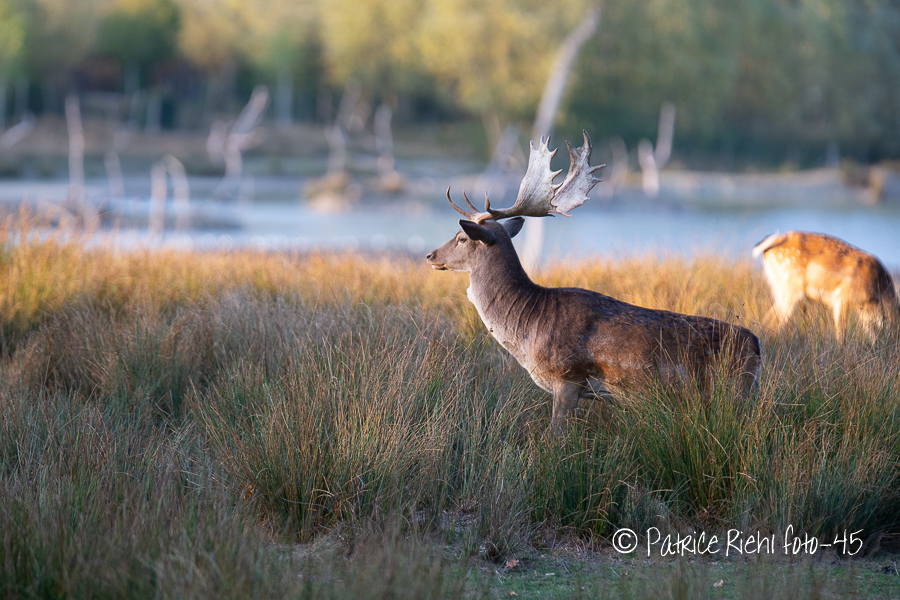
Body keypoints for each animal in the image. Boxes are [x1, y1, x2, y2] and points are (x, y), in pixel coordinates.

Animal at [426, 131, 761, 430]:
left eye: (461, 237)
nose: (430, 255)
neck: (528, 328)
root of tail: (758, 347)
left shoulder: (567, 376)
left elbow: (557, 436)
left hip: (730, 390)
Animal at [752, 231, 899, 340]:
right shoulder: (842, 297)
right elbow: (841, 334)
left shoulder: (862, 307)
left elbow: (871, 334)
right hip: (792, 288)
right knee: (780, 323)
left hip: (780, 288)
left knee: (769, 318)